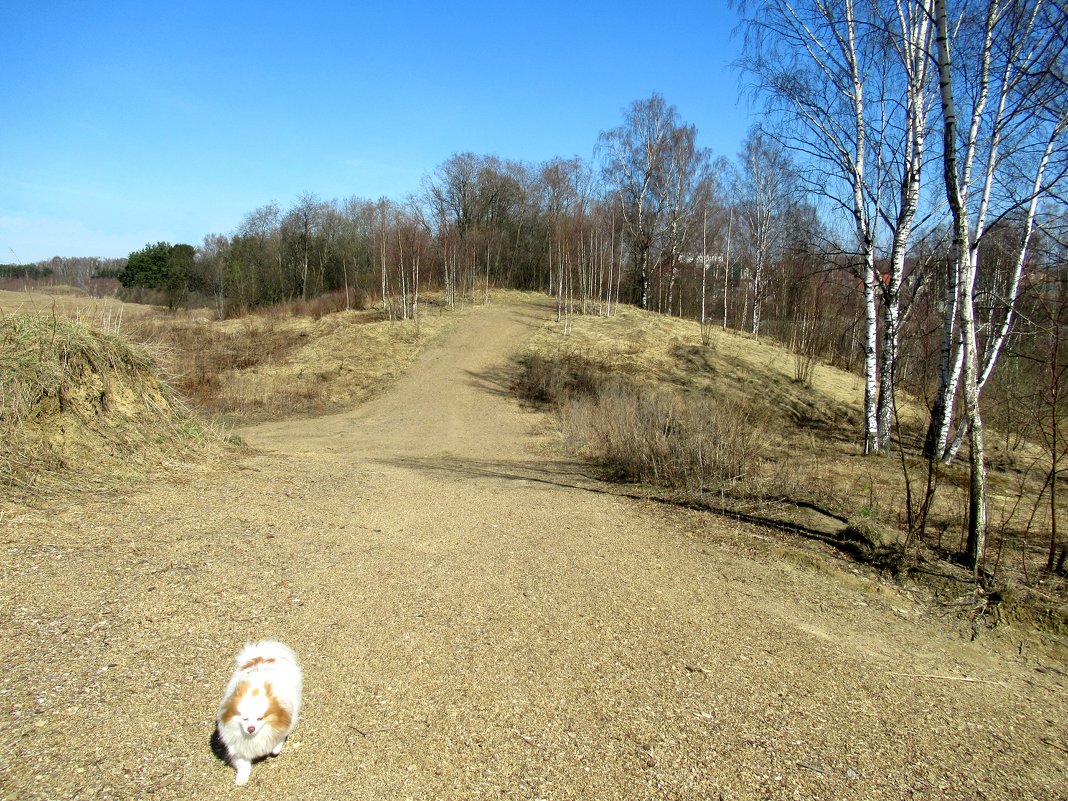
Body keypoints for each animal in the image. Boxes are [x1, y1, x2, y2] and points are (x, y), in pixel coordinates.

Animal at [215, 645, 303, 786]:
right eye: (244, 719)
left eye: (260, 719)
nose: (251, 728)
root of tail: (263, 656)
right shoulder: (237, 746)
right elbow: (243, 764)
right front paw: (241, 779)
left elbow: (278, 740)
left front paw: (275, 748)